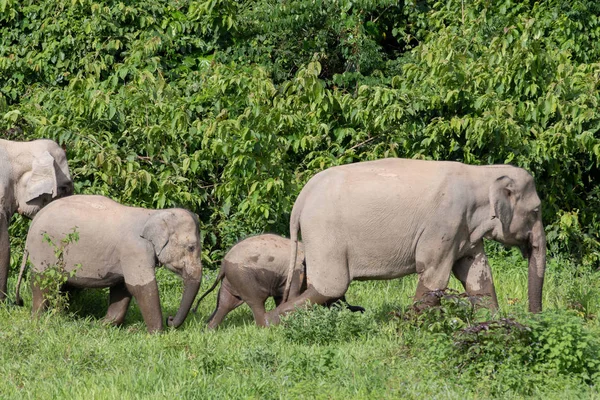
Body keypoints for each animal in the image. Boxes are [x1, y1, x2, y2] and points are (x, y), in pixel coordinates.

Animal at [15, 195, 203, 332]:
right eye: (191, 248)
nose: (170, 319)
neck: (154, 214)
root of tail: (34, 222)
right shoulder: (135, 250)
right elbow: (142, 287)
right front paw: (157, 334)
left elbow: (123, 288)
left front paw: (103, 326)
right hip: (43, 248)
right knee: (43, 282)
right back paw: (38, 320)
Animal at [193, 234, 360, 328]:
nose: (361, 310)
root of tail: (223, 264)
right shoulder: (297, 272)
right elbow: (292, 296)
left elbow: (281, 299)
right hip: (243, 276)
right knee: (255, 301)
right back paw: (265, 327)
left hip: (232, 279)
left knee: (225, 303)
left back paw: (208, 330)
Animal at [270, 158, 548, 324]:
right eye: (536, 211)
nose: (535, 319)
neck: (483, 173)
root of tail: (301, 198)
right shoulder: (444, 224)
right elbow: (434, 277)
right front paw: (410, 325)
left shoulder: (465, 230)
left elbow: (477, 275)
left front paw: (490, 323)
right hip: (325, 233)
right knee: (331, 287)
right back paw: (271, 321)